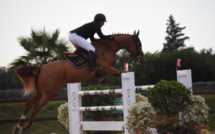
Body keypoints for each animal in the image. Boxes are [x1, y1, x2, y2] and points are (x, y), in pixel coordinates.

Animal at [13, 29, 144, 133]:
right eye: (139, 44)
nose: (141, 59)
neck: (107, 48)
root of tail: (40, 68)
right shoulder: (105, 67)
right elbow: (116, 72)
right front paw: (105, 80)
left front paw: (102, 79)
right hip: (50, 93)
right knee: (36, 106)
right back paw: (26, 126)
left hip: (40, 92)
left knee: (28, 104)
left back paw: (18, 126)